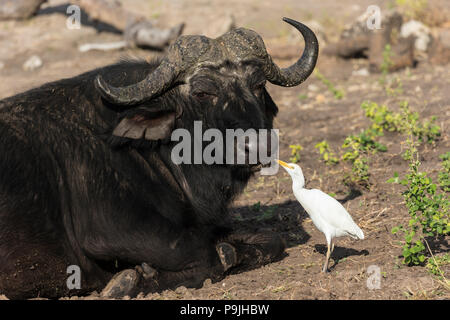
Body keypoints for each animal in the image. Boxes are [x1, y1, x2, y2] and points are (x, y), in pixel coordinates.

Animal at [0, 16, 318, 298]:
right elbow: (205, 255)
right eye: (202, 92)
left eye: (258, 85)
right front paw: (128, 281)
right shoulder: (112, 231)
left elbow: (270, 238)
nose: (258, 146)